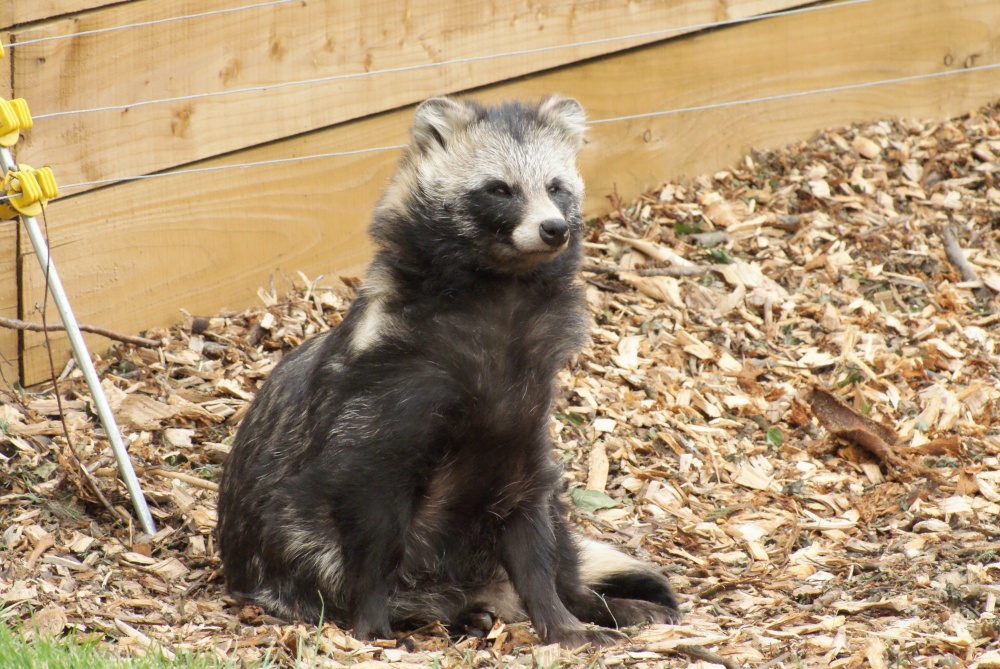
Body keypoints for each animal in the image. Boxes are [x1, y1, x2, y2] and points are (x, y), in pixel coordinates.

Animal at [218, 95, 680, 648]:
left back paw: (587, 602)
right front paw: (372, 621)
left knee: (556, 534)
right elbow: (370, 515)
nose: (554, 229)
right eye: (499, 188)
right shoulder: (381, 403)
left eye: (556, 186)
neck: (501, 294)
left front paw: (559, 615)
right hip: (288, 543)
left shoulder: (523, 419)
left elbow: (532, 529)